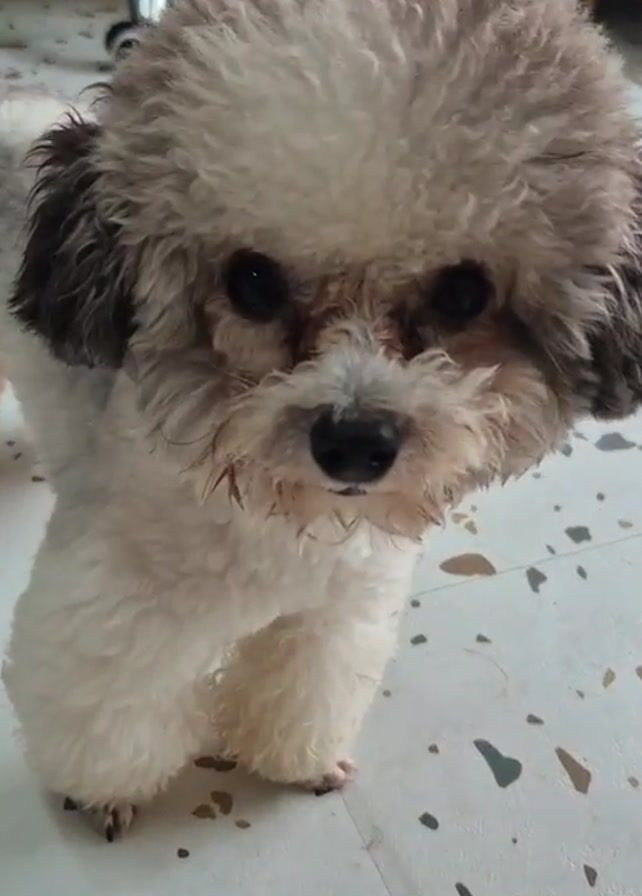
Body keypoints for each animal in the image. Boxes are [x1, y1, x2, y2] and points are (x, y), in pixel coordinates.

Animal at [1, 0, 642, 841]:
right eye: (251, 280)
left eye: (464, 293)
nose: (356, 443)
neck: (276, 514)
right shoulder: (116, 599)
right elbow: (109, 707)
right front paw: (106, 792)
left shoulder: (340, 606)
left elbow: (308, 689)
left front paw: (300, 761)